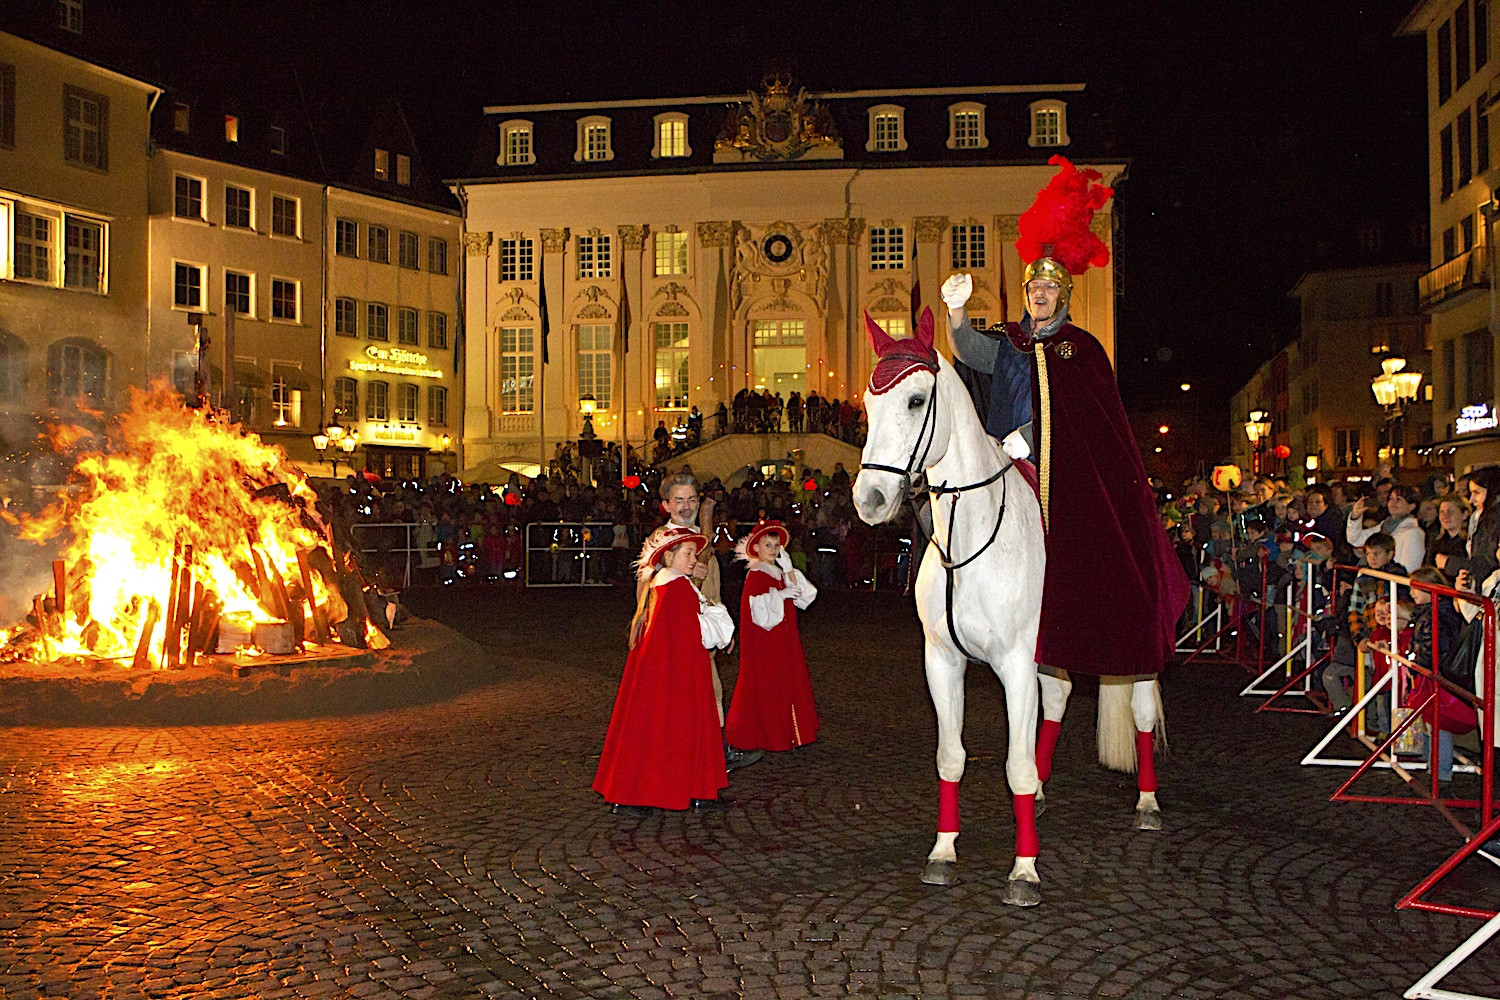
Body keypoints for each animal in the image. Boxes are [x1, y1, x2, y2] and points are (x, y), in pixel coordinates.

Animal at [858, 310, 1158, 905]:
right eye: (865, 403)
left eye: (916, 400)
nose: (869, 500)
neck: (969, 533)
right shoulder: (942, 662)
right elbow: (951, 758)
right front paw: (943, 852)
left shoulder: (1016, 664)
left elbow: (1015, 766)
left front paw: (1024, 869)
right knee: (1059, 698)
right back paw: (1042, 793)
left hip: (1135, 642)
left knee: (1140, 710)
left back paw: (1148, 803)